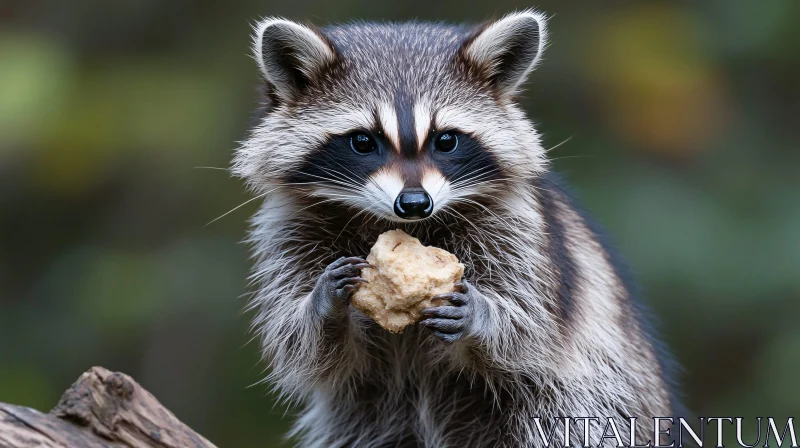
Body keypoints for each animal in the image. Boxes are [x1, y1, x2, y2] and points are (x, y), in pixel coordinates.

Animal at [234, 10, 684, 448]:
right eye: (362, 142)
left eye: (446, 140)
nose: (414, 204)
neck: (397, 224)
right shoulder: (288, 228)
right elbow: (302, 344)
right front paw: (323, 305)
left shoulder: (518, 228)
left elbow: (530, 328)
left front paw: (482, 316)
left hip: (590, 402)